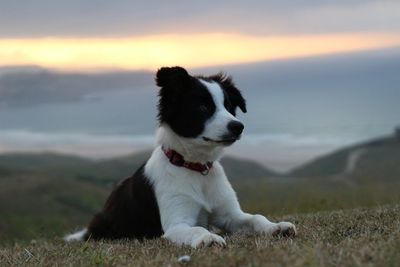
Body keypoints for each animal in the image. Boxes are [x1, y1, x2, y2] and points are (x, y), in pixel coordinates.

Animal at [65, 66, 296, 249]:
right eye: (203, 107)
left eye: (229, 106)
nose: (238, 127)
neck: (196, 168)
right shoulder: (176, 224)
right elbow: (196, 230)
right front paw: (209, 239)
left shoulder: (230, 215)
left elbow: (256, 218)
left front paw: (276, 227)